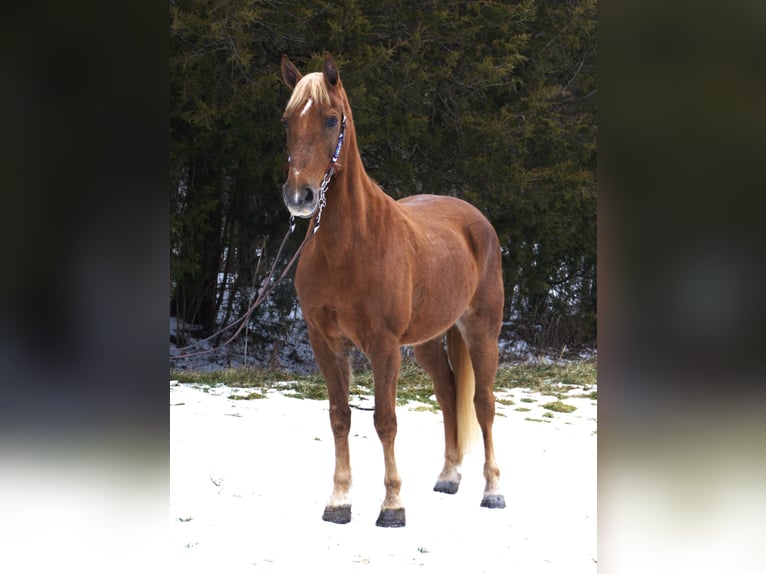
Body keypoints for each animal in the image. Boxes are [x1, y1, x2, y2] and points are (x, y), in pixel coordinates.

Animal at [280, 52, 506, 527]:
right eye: (287, 120)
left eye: (332, 119)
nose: (299, 197)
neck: (348, 245)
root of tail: (475, 219)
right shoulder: (326, 342)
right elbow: (339, 416)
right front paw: (339, 502)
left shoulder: (383, 346)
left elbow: (385, 420)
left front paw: (392, 506)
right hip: (427, 340)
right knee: (448, 393)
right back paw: (448, 476)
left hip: (482, 331)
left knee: (483, 402)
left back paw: (494, 490)